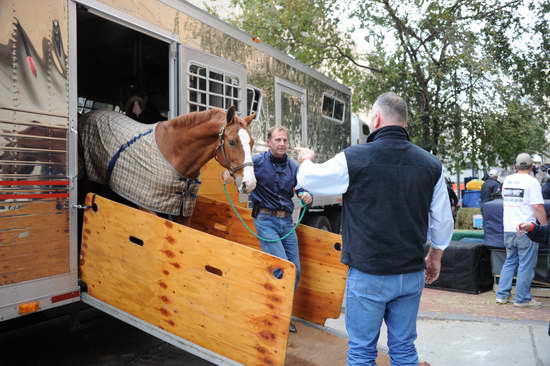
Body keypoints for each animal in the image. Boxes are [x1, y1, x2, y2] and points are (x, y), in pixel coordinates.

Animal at [78, 105, 256, 223]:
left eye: (252, 142)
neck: (174, 152)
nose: (250, 183)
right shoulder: (147, 206)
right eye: (232, 142)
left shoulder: (183, 213)